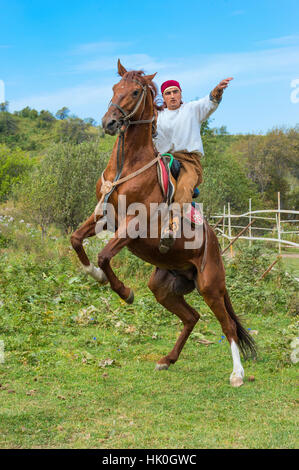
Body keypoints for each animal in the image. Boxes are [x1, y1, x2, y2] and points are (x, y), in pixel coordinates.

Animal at [70, 60, 255, 388]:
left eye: (134, 91)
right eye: (114, 87)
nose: (109, 123)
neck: (127, 167)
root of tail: (215, 243)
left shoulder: (132, 225)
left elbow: (104, 255)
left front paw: (124, 291)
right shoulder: (103, 217)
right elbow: (76, 239)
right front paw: (94, 274)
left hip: (210, 286)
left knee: (228, 326)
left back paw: (237, 374)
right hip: (164, 287)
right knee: (192, 317)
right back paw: (167, 359)